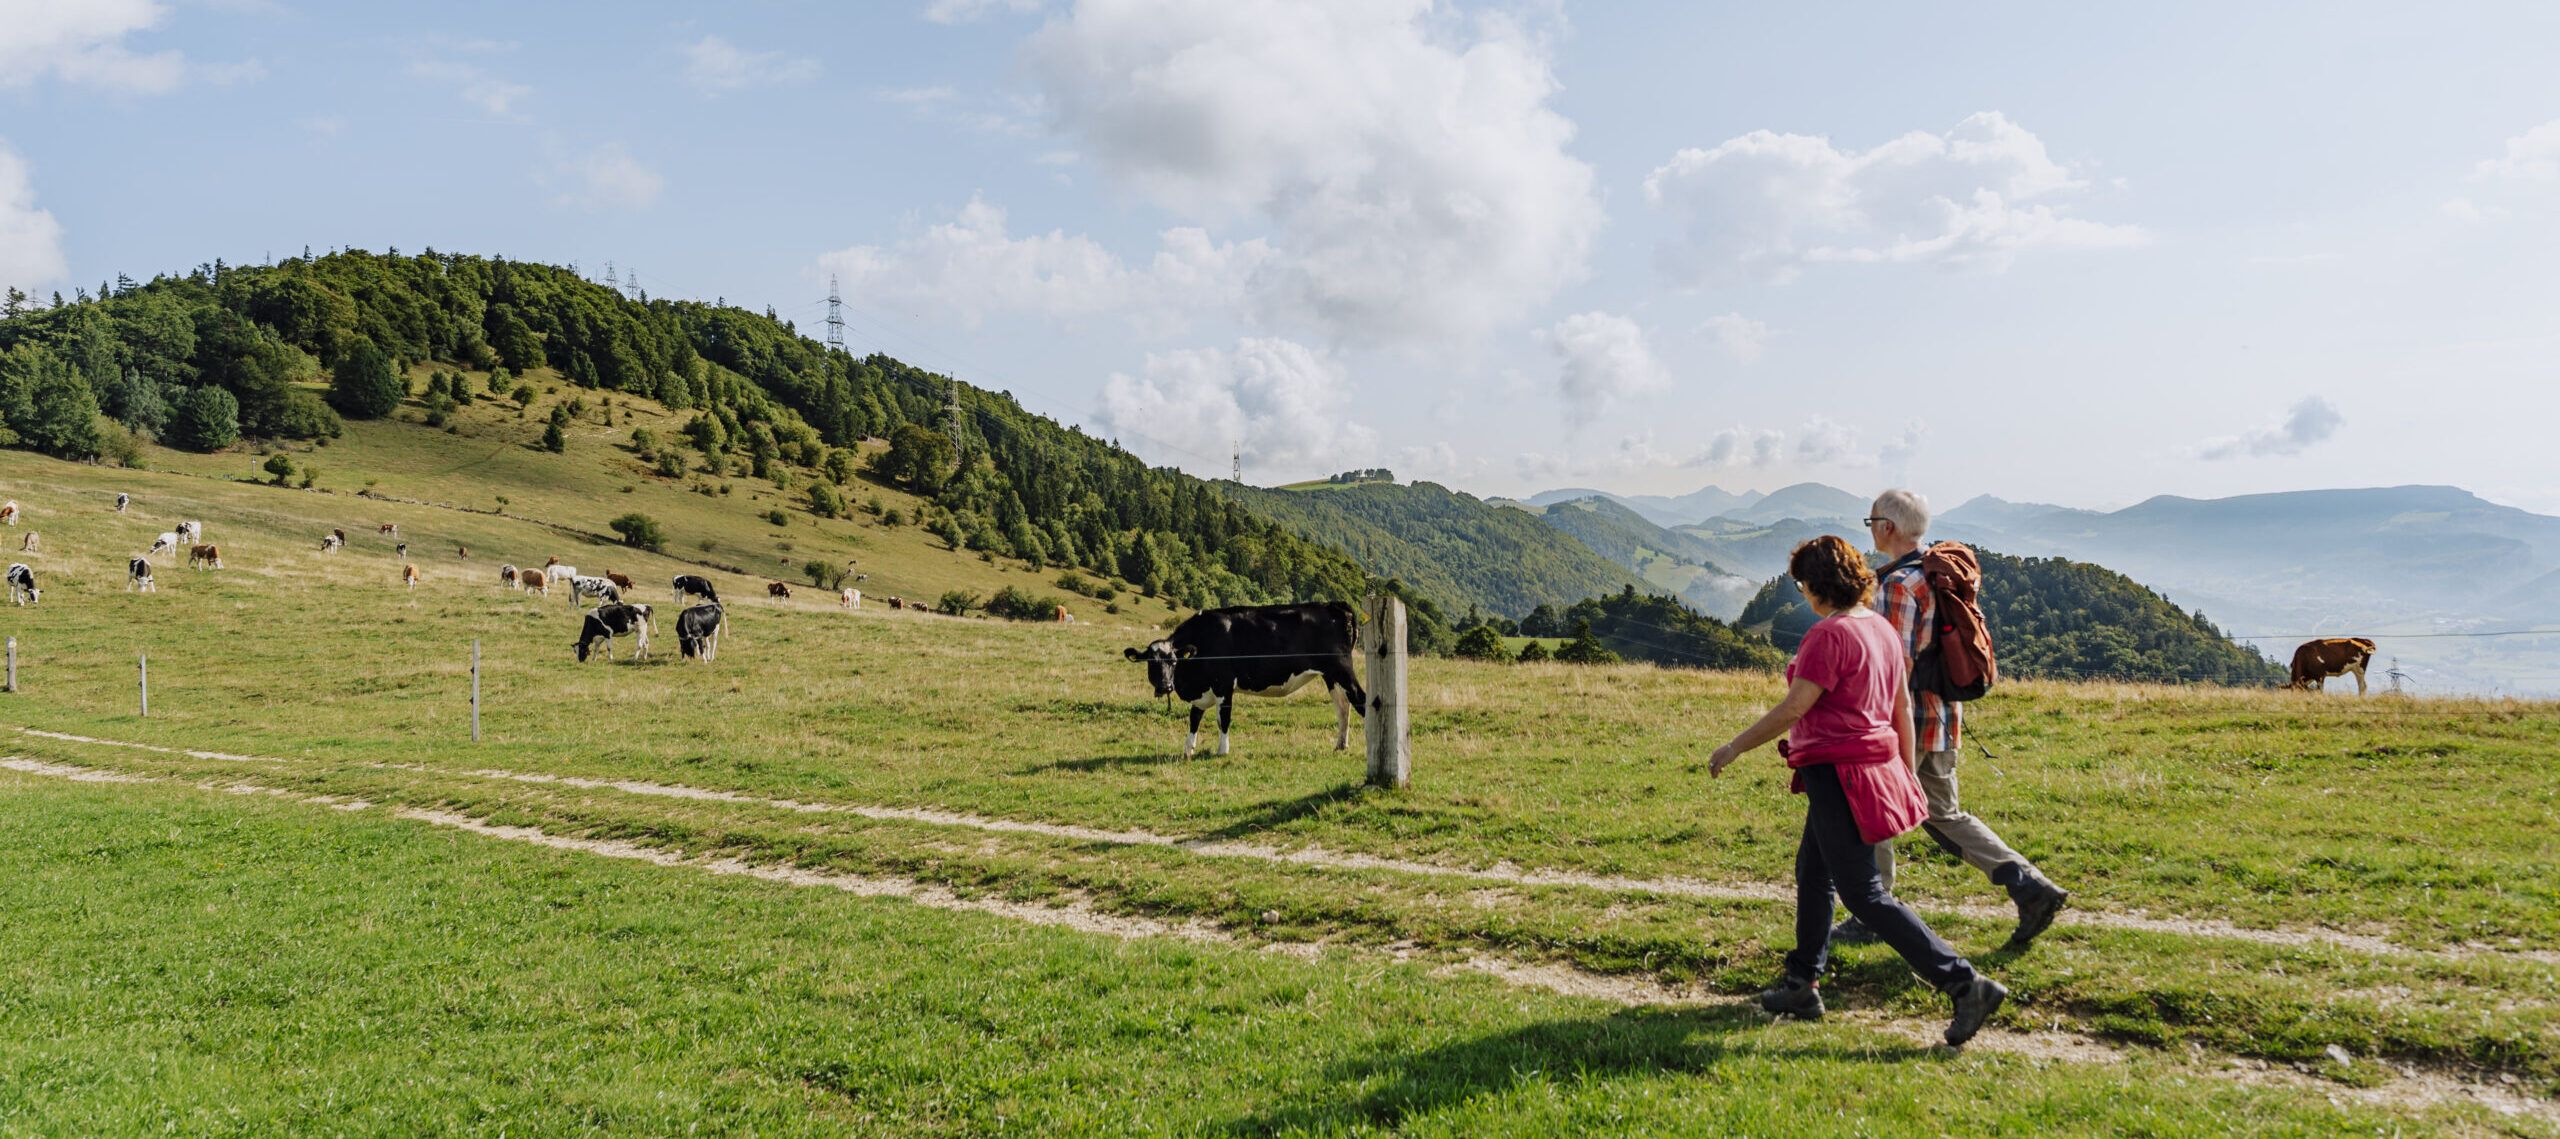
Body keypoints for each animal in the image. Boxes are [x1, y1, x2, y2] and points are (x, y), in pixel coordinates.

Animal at [1116, 598, 1361, 757]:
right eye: (1151, 662)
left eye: (1174, 661)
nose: (1165, 686)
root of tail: (1335, 605)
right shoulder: (1204, 692)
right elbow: (1194, 718)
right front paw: (1188, 749)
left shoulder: (1224, 685)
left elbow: (1223, 718)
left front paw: (1222, 751)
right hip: (1330, 674)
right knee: (1343, 707)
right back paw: (1341, 745)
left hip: (1342, 668)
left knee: (1359, 699)